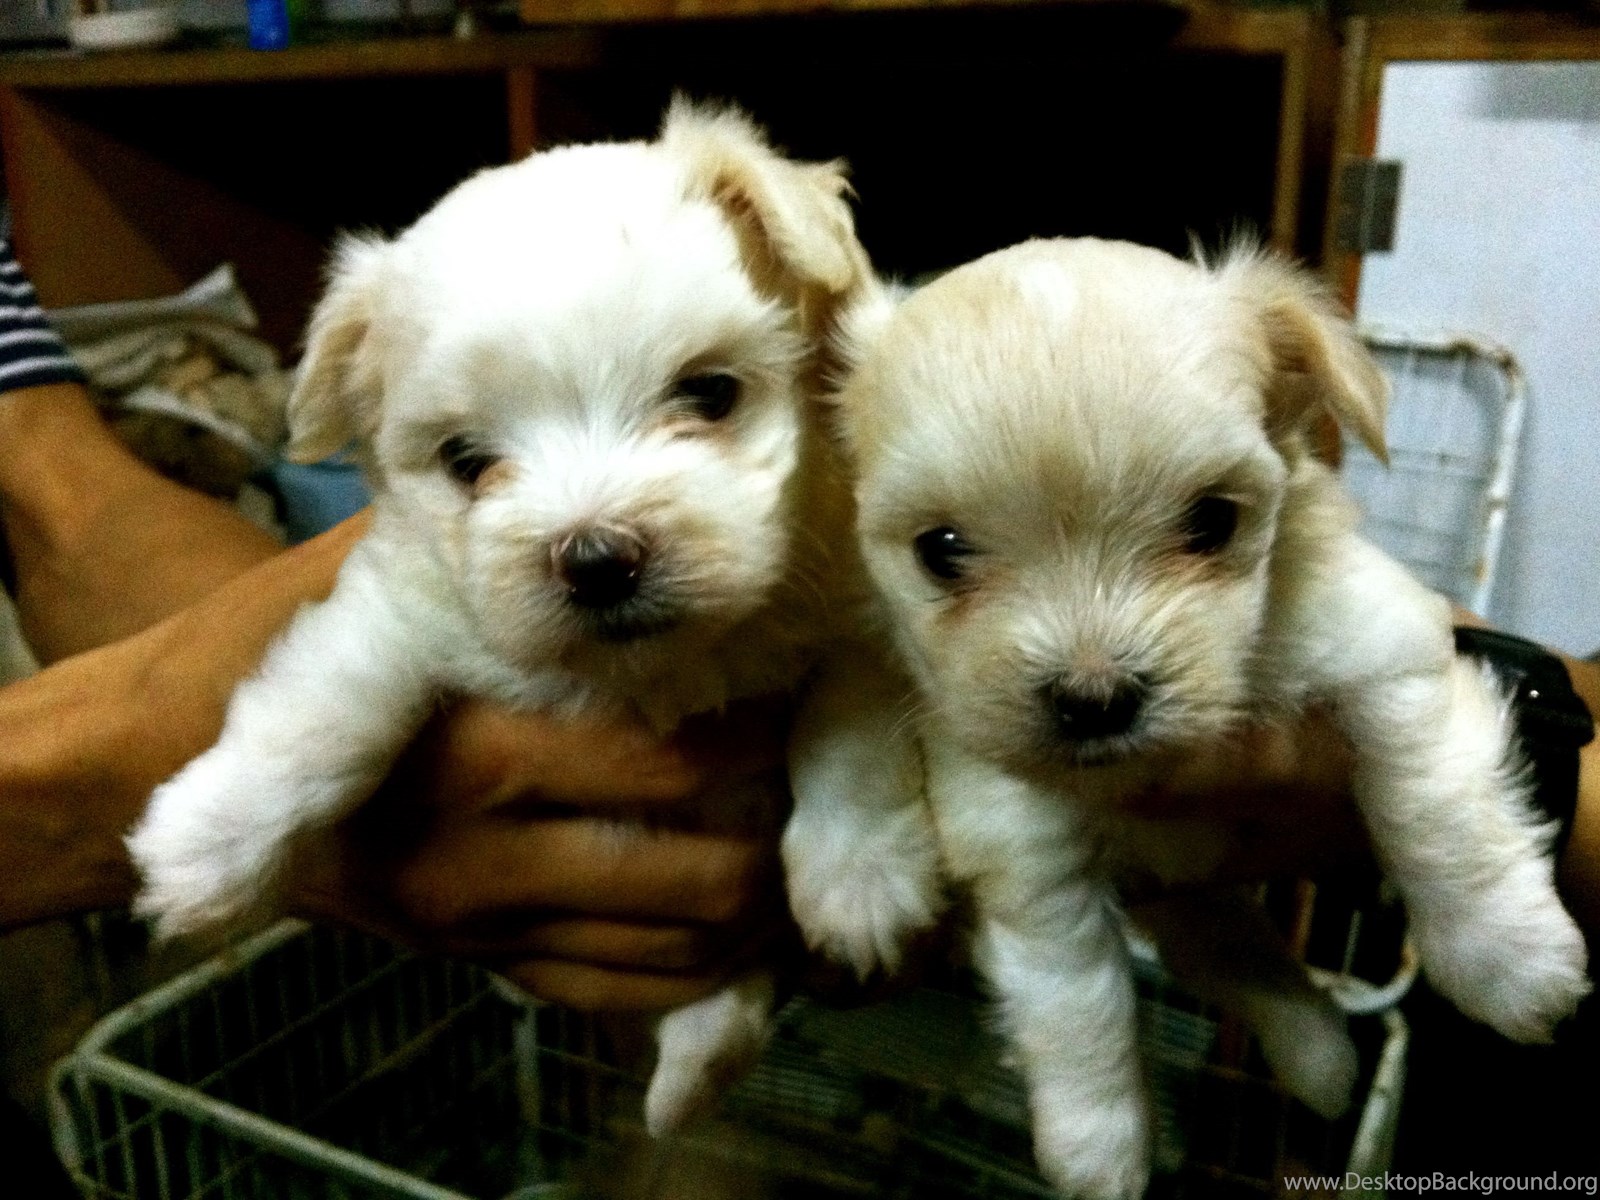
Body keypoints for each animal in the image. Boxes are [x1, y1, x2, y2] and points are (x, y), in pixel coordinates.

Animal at [125, 100, 938, 1137]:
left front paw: (862, 877)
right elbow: (330, 708)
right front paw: (207, 844)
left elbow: (851, 721)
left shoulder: (865, 599)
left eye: (710, 394)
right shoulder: (404, 603)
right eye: (467, 461)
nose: (597, 559)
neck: (654, 671)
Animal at [829, 237, 1591, 1198]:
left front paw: (1507, 956)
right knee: (1234, 954)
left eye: (1211, 521)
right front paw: (1099, 1143)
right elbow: (1075, 993)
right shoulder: (1023, 840)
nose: (1094, 698)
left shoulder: (1380, 646)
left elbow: (1430, 802)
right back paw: (1319, 1055)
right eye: (942, 551)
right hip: (1189, 897)